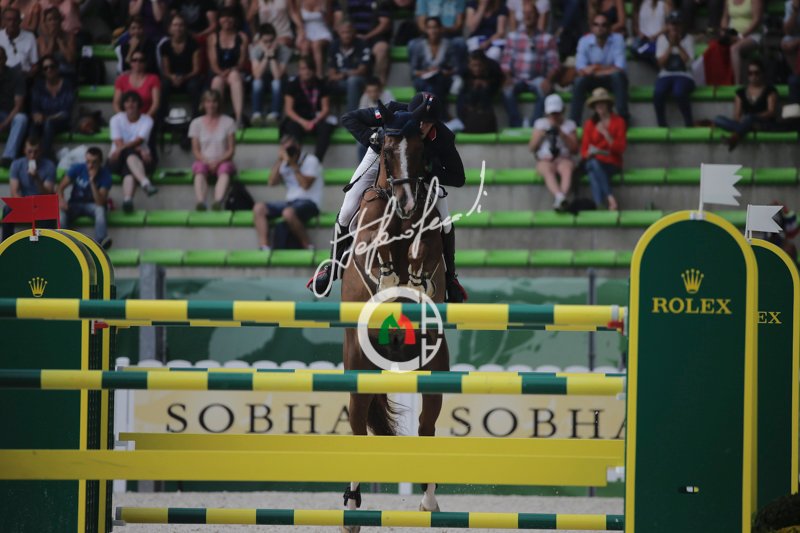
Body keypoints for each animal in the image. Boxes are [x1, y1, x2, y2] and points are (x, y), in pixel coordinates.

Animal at [339, 102, 450, 528]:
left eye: (422, 152)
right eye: (385, 152)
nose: (406, 204)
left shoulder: (429, 232)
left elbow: (425, 249)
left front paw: (416, 281)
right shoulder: (372, 228)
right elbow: (378, 244)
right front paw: (388, 276)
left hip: (435, 364)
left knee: (426, 426)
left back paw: (429, 501)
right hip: (358, 364)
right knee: (357, 427)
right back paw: (352, 506)